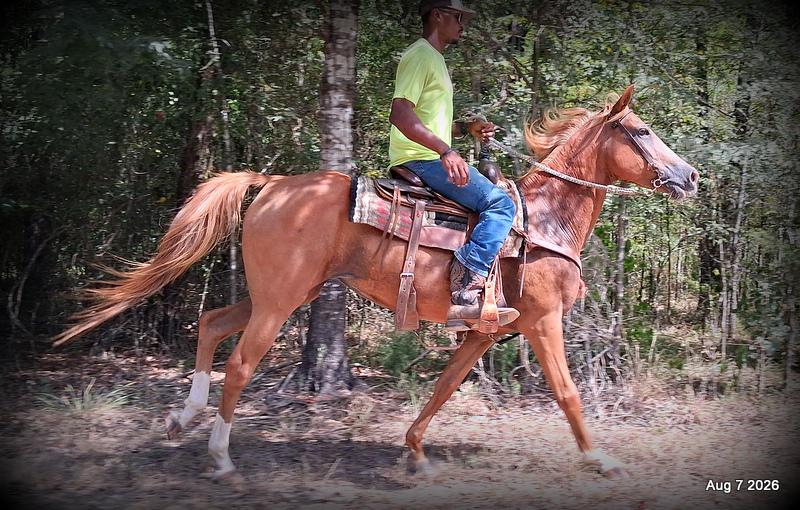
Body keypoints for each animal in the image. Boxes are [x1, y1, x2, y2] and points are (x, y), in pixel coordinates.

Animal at [54, 85, 699, 479]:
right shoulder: (544, 320)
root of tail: (272, 184)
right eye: (641, 132)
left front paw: (415, 451)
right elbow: (567, 393)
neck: (542, 220)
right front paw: (602, 461)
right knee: (239, 364)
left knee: (211, 323)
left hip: (282, 294)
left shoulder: (486, 331)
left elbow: (443, 387)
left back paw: (182, 418)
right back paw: (222, 458)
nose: (691, 176)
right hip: (280, 301)